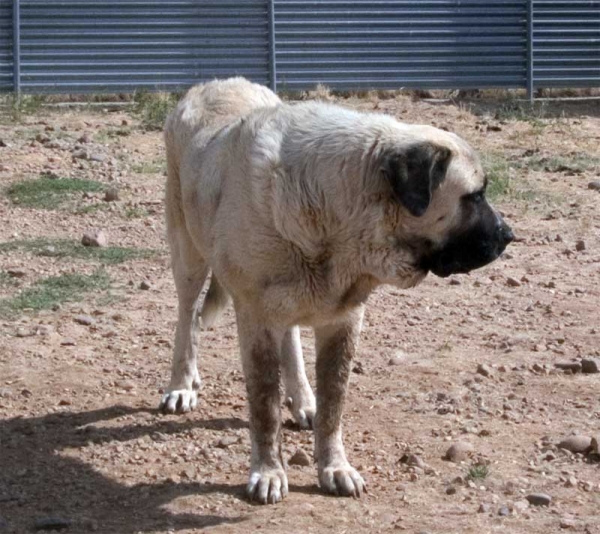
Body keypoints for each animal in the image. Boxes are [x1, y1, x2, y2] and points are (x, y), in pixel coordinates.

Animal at [158, 77, 510, 504]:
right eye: (474, 195)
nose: (509, 236)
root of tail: (213, 83)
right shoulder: (256, 318)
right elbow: (264, 405)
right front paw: (268, 471)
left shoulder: (343, 321)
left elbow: (333, 406)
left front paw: (334, 467)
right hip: (189, 257)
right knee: (187, 318)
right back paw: (181, 385)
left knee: (290, 338)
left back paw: (302, 399)